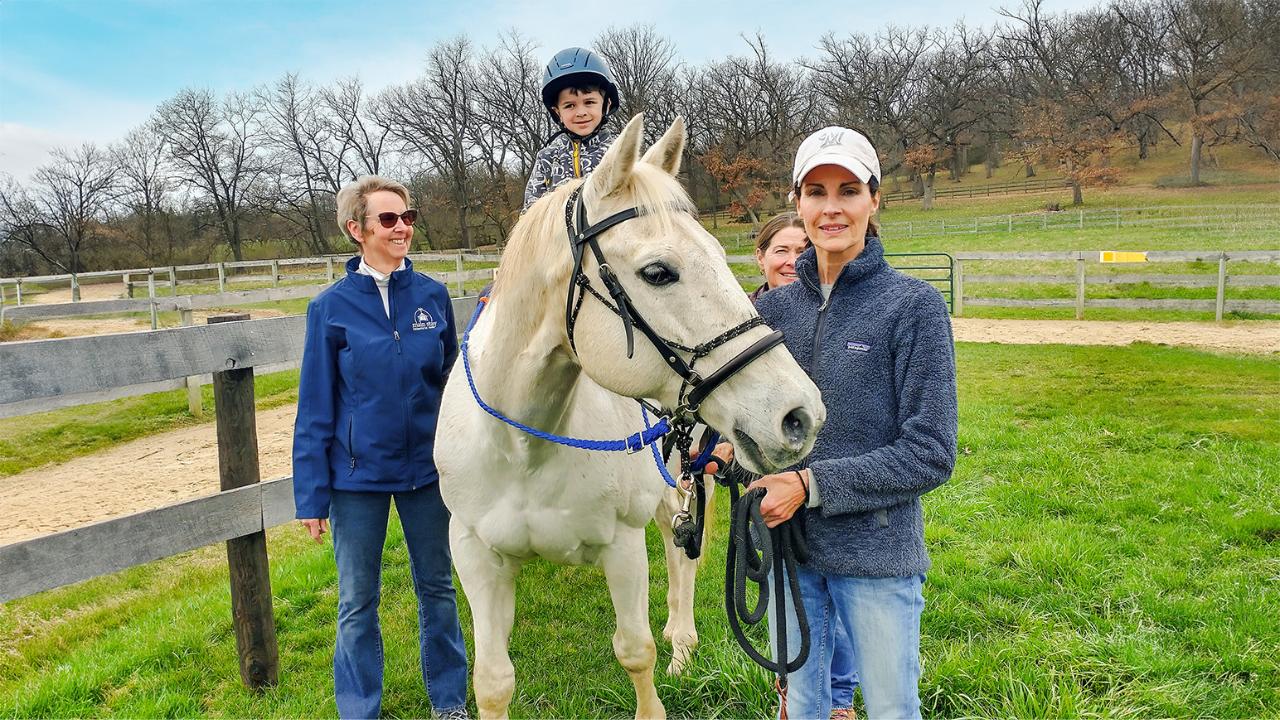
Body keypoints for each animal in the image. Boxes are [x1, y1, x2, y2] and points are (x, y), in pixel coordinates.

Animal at [435, 114, 824, 712]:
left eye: (719, 255)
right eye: (659, 271)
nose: (798, 414)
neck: (525, 449)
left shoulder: (620, 546)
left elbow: (635, 651)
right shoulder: (477, 556)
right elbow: (493, 681)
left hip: (688, 478)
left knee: (681, 556)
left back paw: (683, 648)